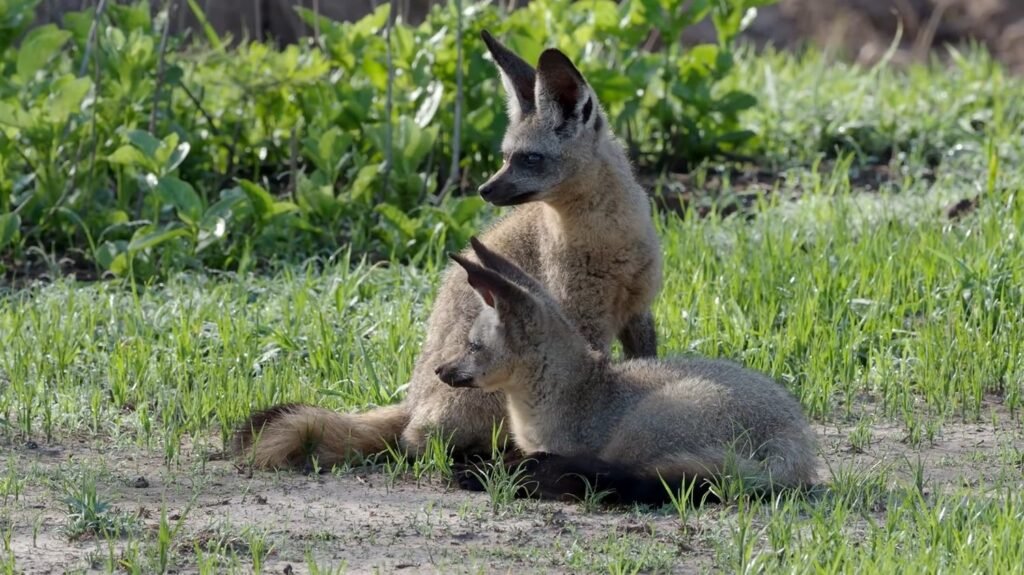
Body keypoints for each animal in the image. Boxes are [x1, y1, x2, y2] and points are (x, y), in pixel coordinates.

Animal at [234, 29, 663, 466]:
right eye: (505, 157)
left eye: (530, 159)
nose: (483, 189)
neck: (610, 236)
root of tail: (411, 401)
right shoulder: (582, 315)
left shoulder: (637, 310)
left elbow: (645, 365)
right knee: (418, 442)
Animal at [436, 236, 819, 501]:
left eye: (473, 346)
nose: (440, 371)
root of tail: (792, 435)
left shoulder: (571, 446)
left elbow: (544, 461)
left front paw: (489, 473)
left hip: (643, 425)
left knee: (623, 476)